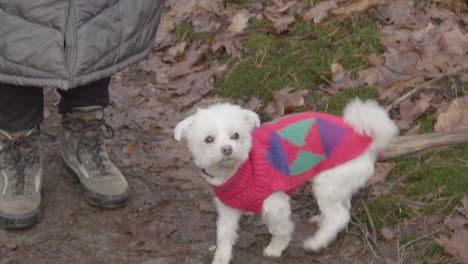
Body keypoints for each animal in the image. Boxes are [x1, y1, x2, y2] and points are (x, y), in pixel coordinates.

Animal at [174, 98, 400, 262]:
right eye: (209, 139)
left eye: (236, 136)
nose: (227, 149)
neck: (237, 171)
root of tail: (366, 136)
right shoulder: (228, 209)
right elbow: (224, 236)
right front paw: (221, 258)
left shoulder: (275, 203)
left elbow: (280, 229)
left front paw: (276, 248)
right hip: (339, 182)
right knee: (342, 206)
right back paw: (322, 221)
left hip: (327, 182)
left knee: (339, 216)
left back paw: (316, 242)